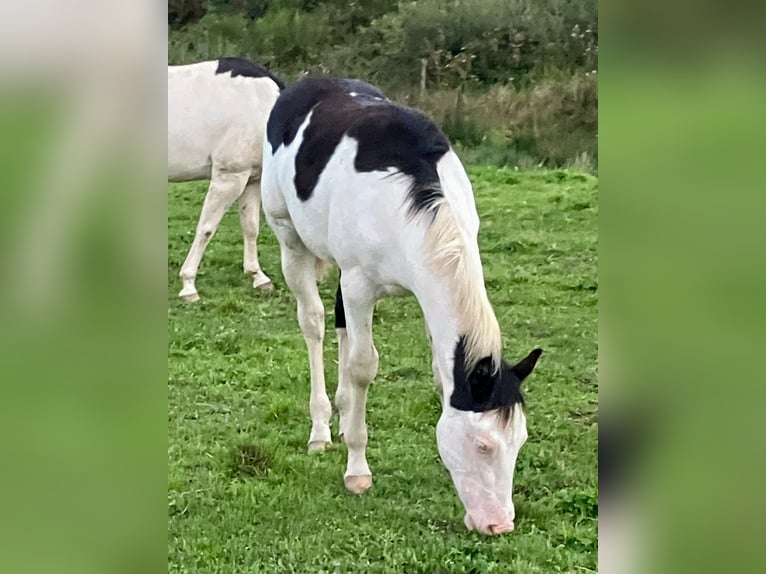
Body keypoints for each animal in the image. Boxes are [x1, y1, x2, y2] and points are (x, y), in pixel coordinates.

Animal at [168, 58, 283, 301]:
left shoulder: (252, 181)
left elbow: (251, 227)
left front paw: (258, 277)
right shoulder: (230, 178)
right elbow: (206, 228)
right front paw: (188, 285)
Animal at [261, 77, 542, 535]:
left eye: (520, 441)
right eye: (483, 445)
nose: (499, 524)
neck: (410, 201)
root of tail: (303, 84)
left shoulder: (423, 293)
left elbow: (436, 374)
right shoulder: (360, 283)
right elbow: (363, 366)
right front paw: (357, 469)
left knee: (339, 324)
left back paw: (343, 415)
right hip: (290, 239)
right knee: (314, 323)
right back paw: (322, 428)